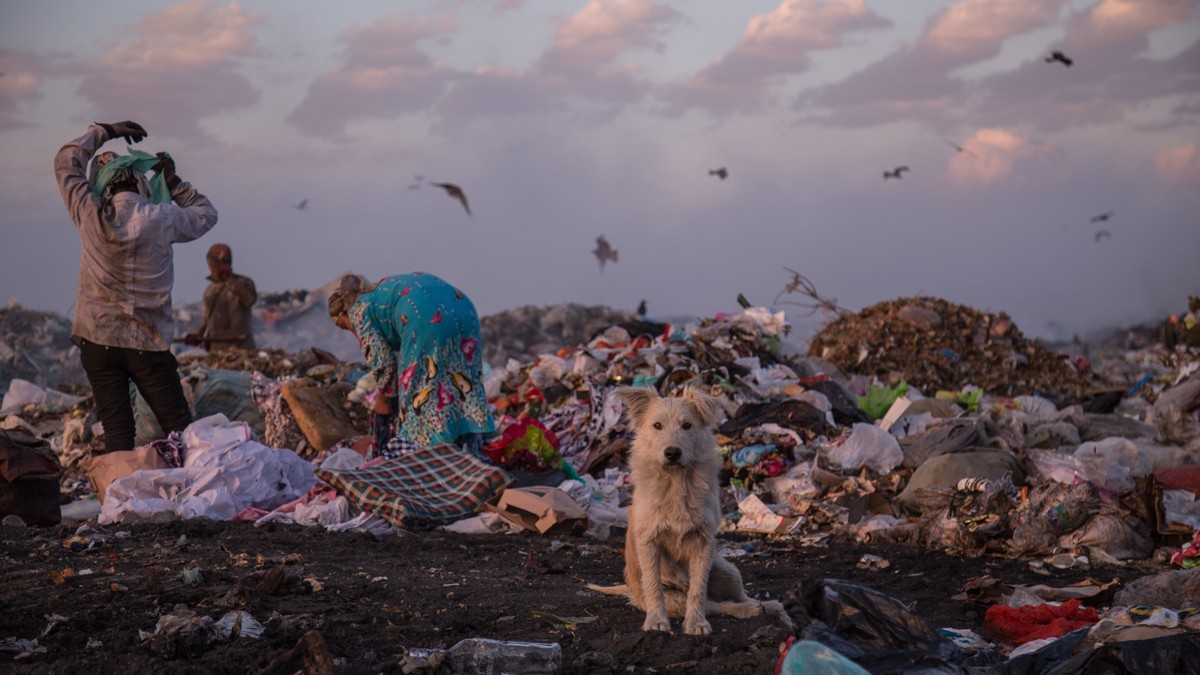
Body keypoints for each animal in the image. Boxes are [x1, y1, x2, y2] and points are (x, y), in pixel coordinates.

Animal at [588, 386, 792, 634]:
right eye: (657, 425)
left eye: (687, 425)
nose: (672, 453)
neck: (676, 483)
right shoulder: (648, 541)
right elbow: (654, 586)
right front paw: (656, 620)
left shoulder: (704, 542)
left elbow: (698, 589)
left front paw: (696, 623)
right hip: (675, 598)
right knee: (716, 605)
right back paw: (750, 609)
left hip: (726, 569)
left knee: (731, 597)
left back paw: (765, 606)